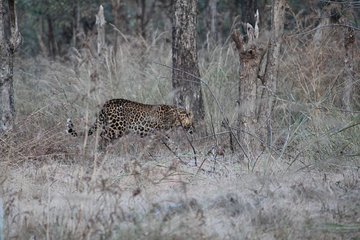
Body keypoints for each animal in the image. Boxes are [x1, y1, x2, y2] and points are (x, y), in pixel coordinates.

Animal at [64, 97, 194, 148]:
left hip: (115, 128)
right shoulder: (160, 132)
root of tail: (107, 103)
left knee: (104, 137)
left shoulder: (158, 133)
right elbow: (169, 141)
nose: (194, 130)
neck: (176, 117)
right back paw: (101, 151)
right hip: (117, 128)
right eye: (193, 123)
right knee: (102, 136)